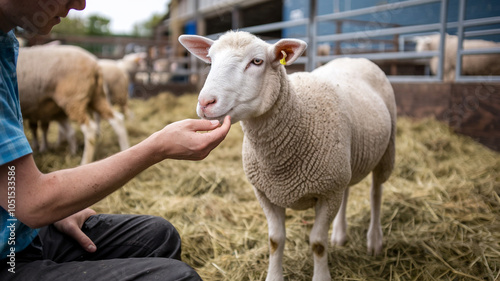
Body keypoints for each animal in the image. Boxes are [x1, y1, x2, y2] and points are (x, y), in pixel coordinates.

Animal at [179, 31, 394, 280]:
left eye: (257, 61)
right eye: (211, 61)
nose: (205, 102)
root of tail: (352, 58)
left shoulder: (328, 192)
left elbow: (317, 243)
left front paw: (321, 276)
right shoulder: (267, 193)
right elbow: (275, 240)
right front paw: (274, 275)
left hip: (386, 151)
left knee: (375, 193)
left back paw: (375, 240)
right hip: (345, 165)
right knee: (349, 190)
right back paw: (340, 235)